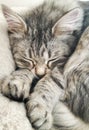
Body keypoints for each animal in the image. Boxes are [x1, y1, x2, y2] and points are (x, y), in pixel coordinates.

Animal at [0, 0, 84, 129]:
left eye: (51, 59)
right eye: (28, 59)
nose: (40, 74)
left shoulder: (63, 66)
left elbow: (50, 82)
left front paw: (39, 108)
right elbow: (25, 70)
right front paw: (17, 81)